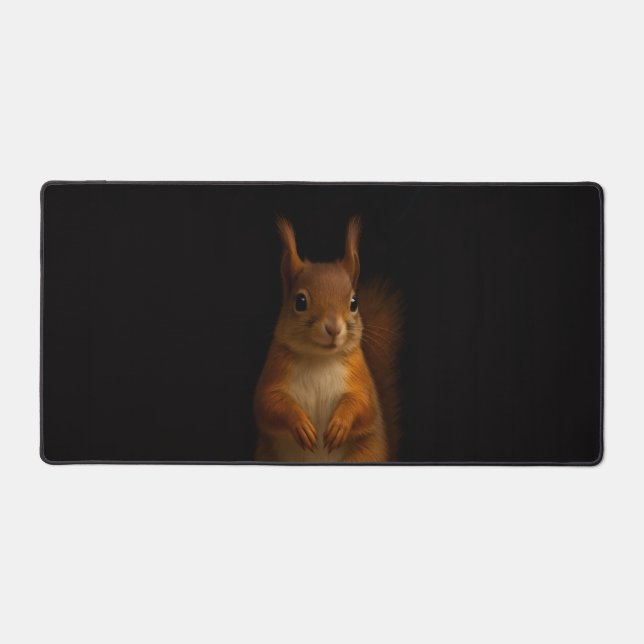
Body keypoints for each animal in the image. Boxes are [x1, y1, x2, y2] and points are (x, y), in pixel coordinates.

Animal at [254, 216, 403, 463]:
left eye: (354, 302)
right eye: (300, 301)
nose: (333, 328)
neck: (319, 358)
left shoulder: (359, 375)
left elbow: (363, 404)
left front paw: (340, 425)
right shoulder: (275, 370)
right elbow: (268, 403)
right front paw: (300, 424)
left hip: (363, 456)